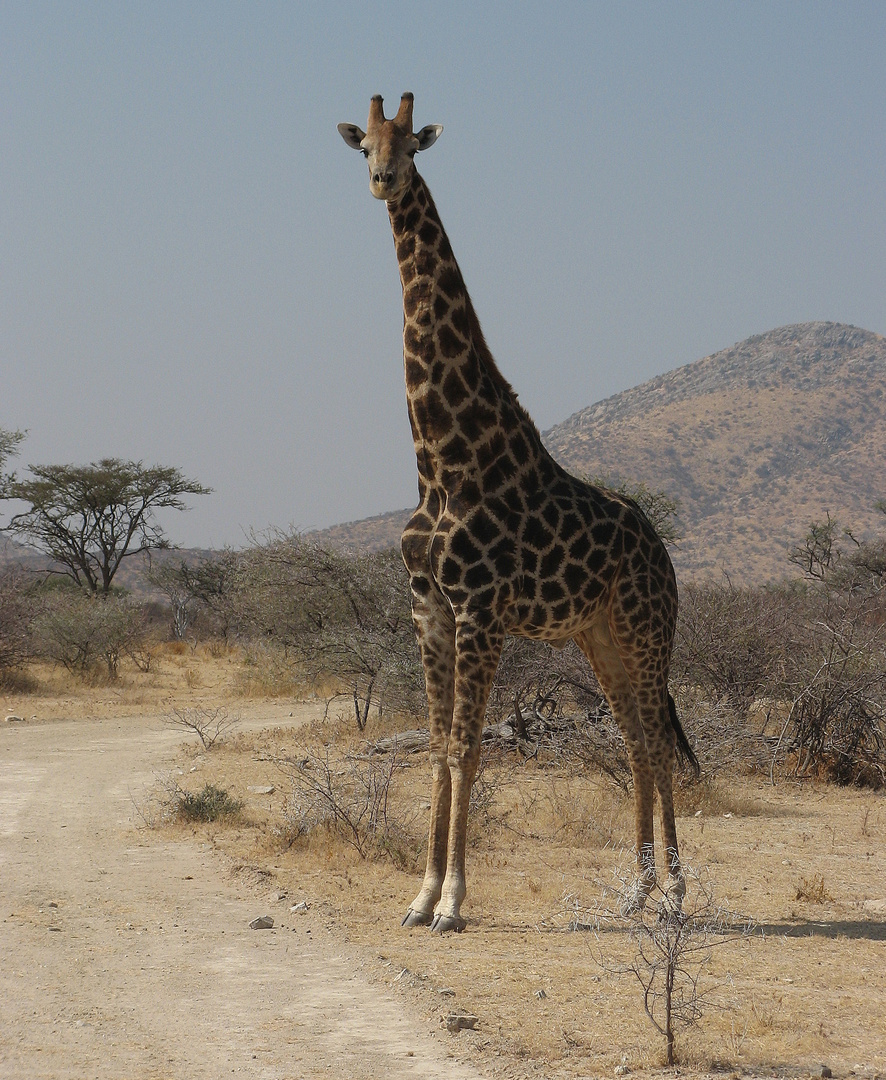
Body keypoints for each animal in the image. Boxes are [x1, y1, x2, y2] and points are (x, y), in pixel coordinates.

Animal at [339, 95, 700, 937]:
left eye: (411, 144)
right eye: (363, 144)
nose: (382, 181)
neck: (442, 461)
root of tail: (660, 548)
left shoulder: (480, 610)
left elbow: (467, 750)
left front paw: (452, 902)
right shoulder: (429, 609)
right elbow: (438, 746)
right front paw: (419, 896)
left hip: (646, 626)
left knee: (657, 738)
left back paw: (672, 892)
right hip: (598, 635)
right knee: (636, 740)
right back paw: (637, 891)